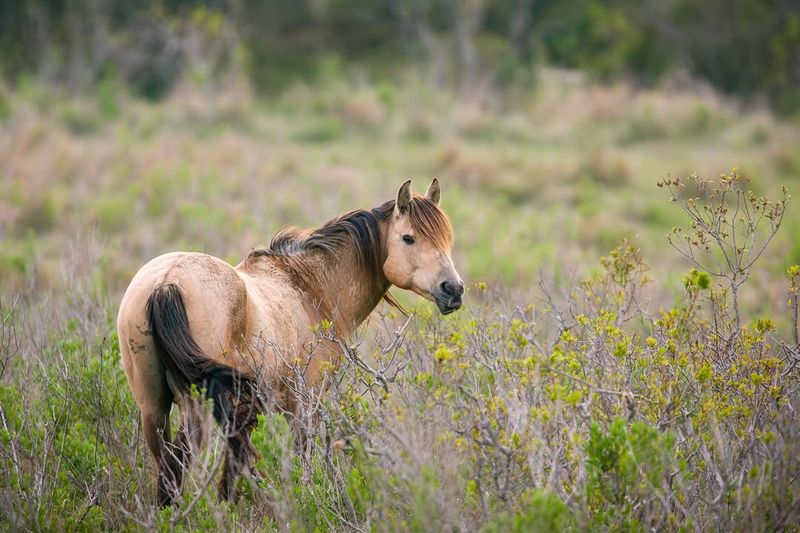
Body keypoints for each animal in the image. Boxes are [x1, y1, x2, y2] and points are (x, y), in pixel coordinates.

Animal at [113, 178, 462, 502]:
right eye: (409, 238)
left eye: (447, 238)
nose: (454, 289)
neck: (311, 289)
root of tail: (166, 283)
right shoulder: (304, 405)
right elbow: (301, 462)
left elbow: (231, 476)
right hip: (195, 409)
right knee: (177, 465)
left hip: (153, 409)